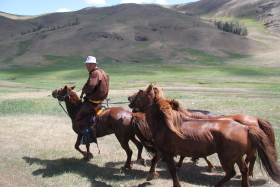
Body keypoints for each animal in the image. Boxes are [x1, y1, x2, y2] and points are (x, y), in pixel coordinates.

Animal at [128, 83, 278, 187]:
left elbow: (172, 170)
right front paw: (151, 175)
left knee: (232, 172)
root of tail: (246, 127)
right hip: (237, 156)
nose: (129, 98)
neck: (164, 122)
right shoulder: (163, 150)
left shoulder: (167, 152)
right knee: (244, 169)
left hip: (227, 158)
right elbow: (155, 160)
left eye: (140, 91)